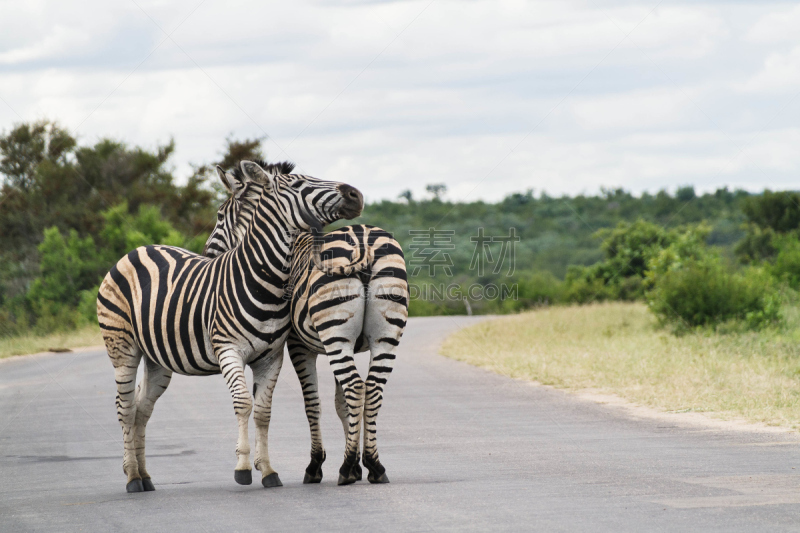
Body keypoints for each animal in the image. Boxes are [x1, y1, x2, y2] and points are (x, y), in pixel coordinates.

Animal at [94, 161, 366, 490]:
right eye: (298, 184)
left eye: (221, 215)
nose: (356, 194)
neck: (265, 280)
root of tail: (137, 250)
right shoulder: (228, 351)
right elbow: (243, 404)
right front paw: (243, 467)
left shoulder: (271, 357)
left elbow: (262, 412)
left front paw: (269, 471)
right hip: (123, 350)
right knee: (125, 409)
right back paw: (133, 477)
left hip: (157, 359)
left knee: (141, 409)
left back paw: (144, 476)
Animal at [203, 162, 410, 486]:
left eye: (220, 215)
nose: (207, 254)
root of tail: (363, 238)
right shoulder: (347, 344)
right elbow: (340, 404)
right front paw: (357, 465)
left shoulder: (298, 345)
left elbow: (313, 403)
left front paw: (318, 465)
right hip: (383, 336)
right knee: (372, 389)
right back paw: (374, 466)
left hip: (336, 335)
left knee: (355, 387)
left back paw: (345, 468)